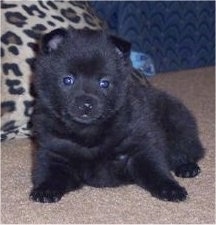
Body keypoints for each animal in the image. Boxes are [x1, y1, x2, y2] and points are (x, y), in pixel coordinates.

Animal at [30, 27, 204, 203]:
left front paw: (170, 188)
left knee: (189, 151)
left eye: (104, 83)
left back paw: (187, 167)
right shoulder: (54, 153)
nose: (86, 104)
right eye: (67, 80)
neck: (88, 132)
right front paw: (45, 190)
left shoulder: (139, 148)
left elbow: (156, 170)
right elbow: (50, 174)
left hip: (178, 126)